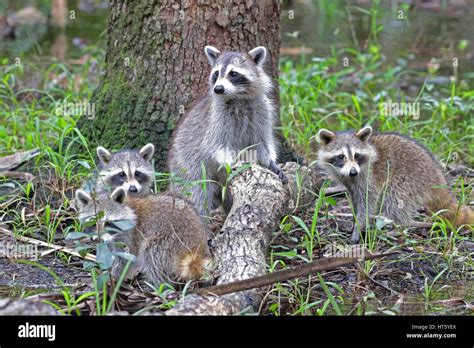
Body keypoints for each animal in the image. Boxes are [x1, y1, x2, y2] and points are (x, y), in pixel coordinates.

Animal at [75, 188, 212, 286]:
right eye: (92, 223)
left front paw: (114, 276)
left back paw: (162, 286)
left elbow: (127, 258)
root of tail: (198, 246)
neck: (128, 206)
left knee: (151, 254)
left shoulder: (131, 234)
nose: (98, 240)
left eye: (108, 223)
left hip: (171, 238)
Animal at [168, 44, 286, 216]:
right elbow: (216, 145)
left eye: (234, 74)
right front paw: (232, 162)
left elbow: (262, 142)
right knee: (194, 191)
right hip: (185, 163)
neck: (238, 97)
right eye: (216, 74)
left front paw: (270, 161)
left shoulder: (263, 110)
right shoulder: (217, 118)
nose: (218, 89)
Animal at [316, 126, 472, 243]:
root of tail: (438, 175)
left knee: (394, 196)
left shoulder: (369, 176)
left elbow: (367, 201)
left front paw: (358, 227)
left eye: (357, 155)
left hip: (410, 178)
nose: (353, 172)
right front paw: (355, 222)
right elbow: (355, 199)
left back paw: (399, 227)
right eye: (341, 156)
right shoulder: (350, 181)